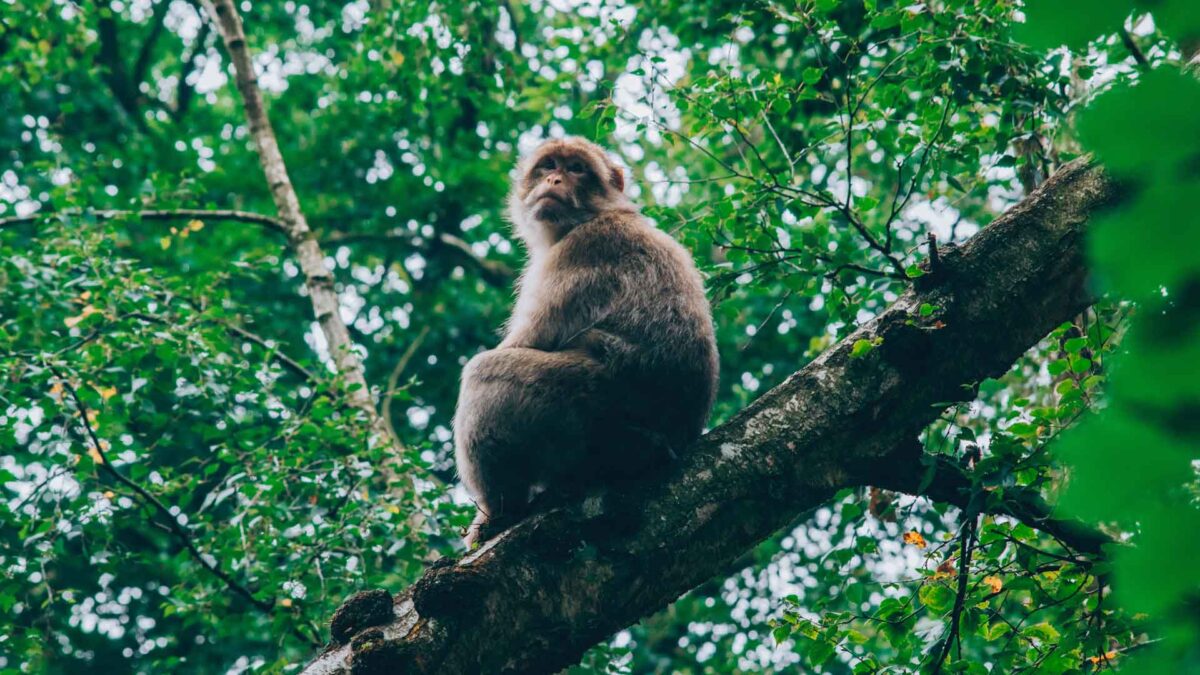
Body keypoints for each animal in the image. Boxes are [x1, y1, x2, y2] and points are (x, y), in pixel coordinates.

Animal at [448, 133, 710, 542]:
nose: (554, 180)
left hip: (587, 411)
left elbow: (523, 344)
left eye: (576, 169)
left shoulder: (580, 251)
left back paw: (498, 512)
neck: (591, 216)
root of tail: (675, 439)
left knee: (483, 373)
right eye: (549, 165)